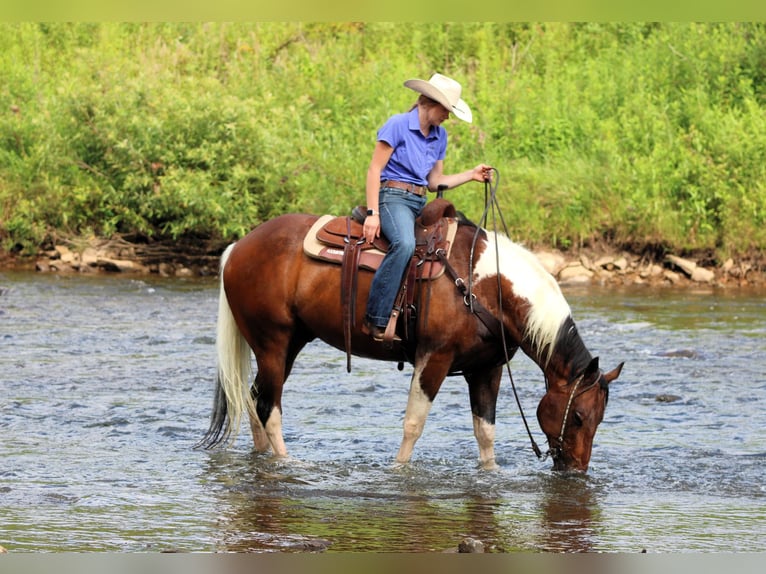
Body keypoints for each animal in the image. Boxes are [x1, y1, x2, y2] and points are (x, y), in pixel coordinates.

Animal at [198, 207, 624, 472]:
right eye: (579, 416)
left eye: (601, 419)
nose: (576, 471)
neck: (485, 287)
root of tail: (238, 247)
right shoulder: (434, 358)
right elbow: (414, 423)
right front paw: (399, 471)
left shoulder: (486, 368)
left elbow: (485, 431)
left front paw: (492, 473)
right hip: (273, 342)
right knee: (269, 406)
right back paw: (287, 463)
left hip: (291, 343)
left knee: (255, 398)